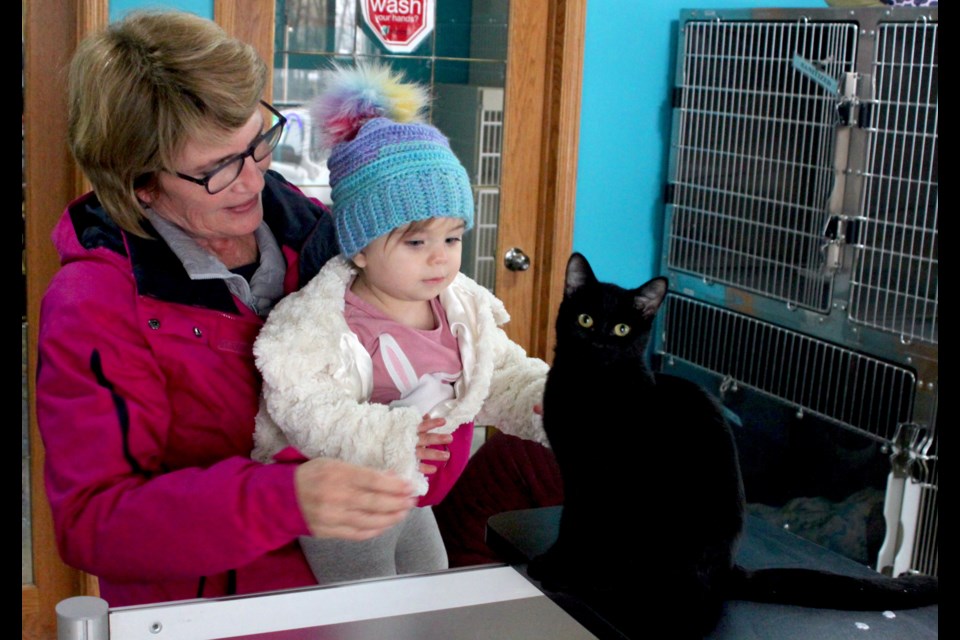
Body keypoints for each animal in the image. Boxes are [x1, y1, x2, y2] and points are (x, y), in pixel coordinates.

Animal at [524, 252, 936, 640]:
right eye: (585, 320)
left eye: (622, 329)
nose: (599, 341)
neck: (590, 386)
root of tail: (729, 571)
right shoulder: (575, 473)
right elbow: (570, 522)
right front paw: (554, 561)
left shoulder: (600, 480)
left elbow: (579, 527)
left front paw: (560, 570)